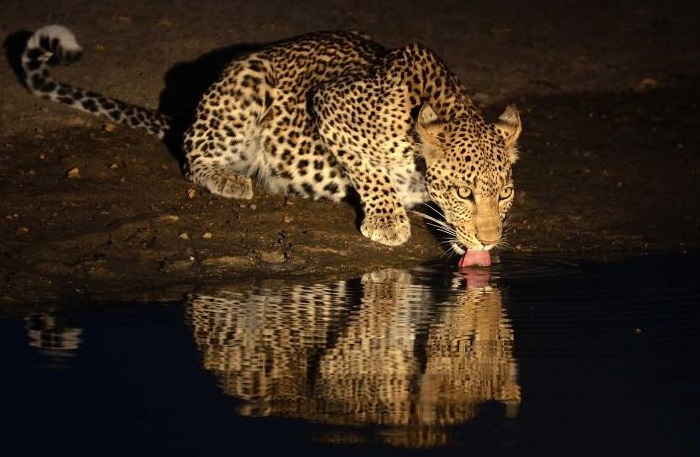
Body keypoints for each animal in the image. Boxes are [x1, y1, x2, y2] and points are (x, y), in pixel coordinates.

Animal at [20, 25, 522, 266]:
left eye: (505, 194)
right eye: (463, 193)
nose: (489, 240)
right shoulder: (331, 105)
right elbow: (368, 169)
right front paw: (387, 220)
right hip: (246, 82)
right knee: (192, 157)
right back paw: (229, 178)